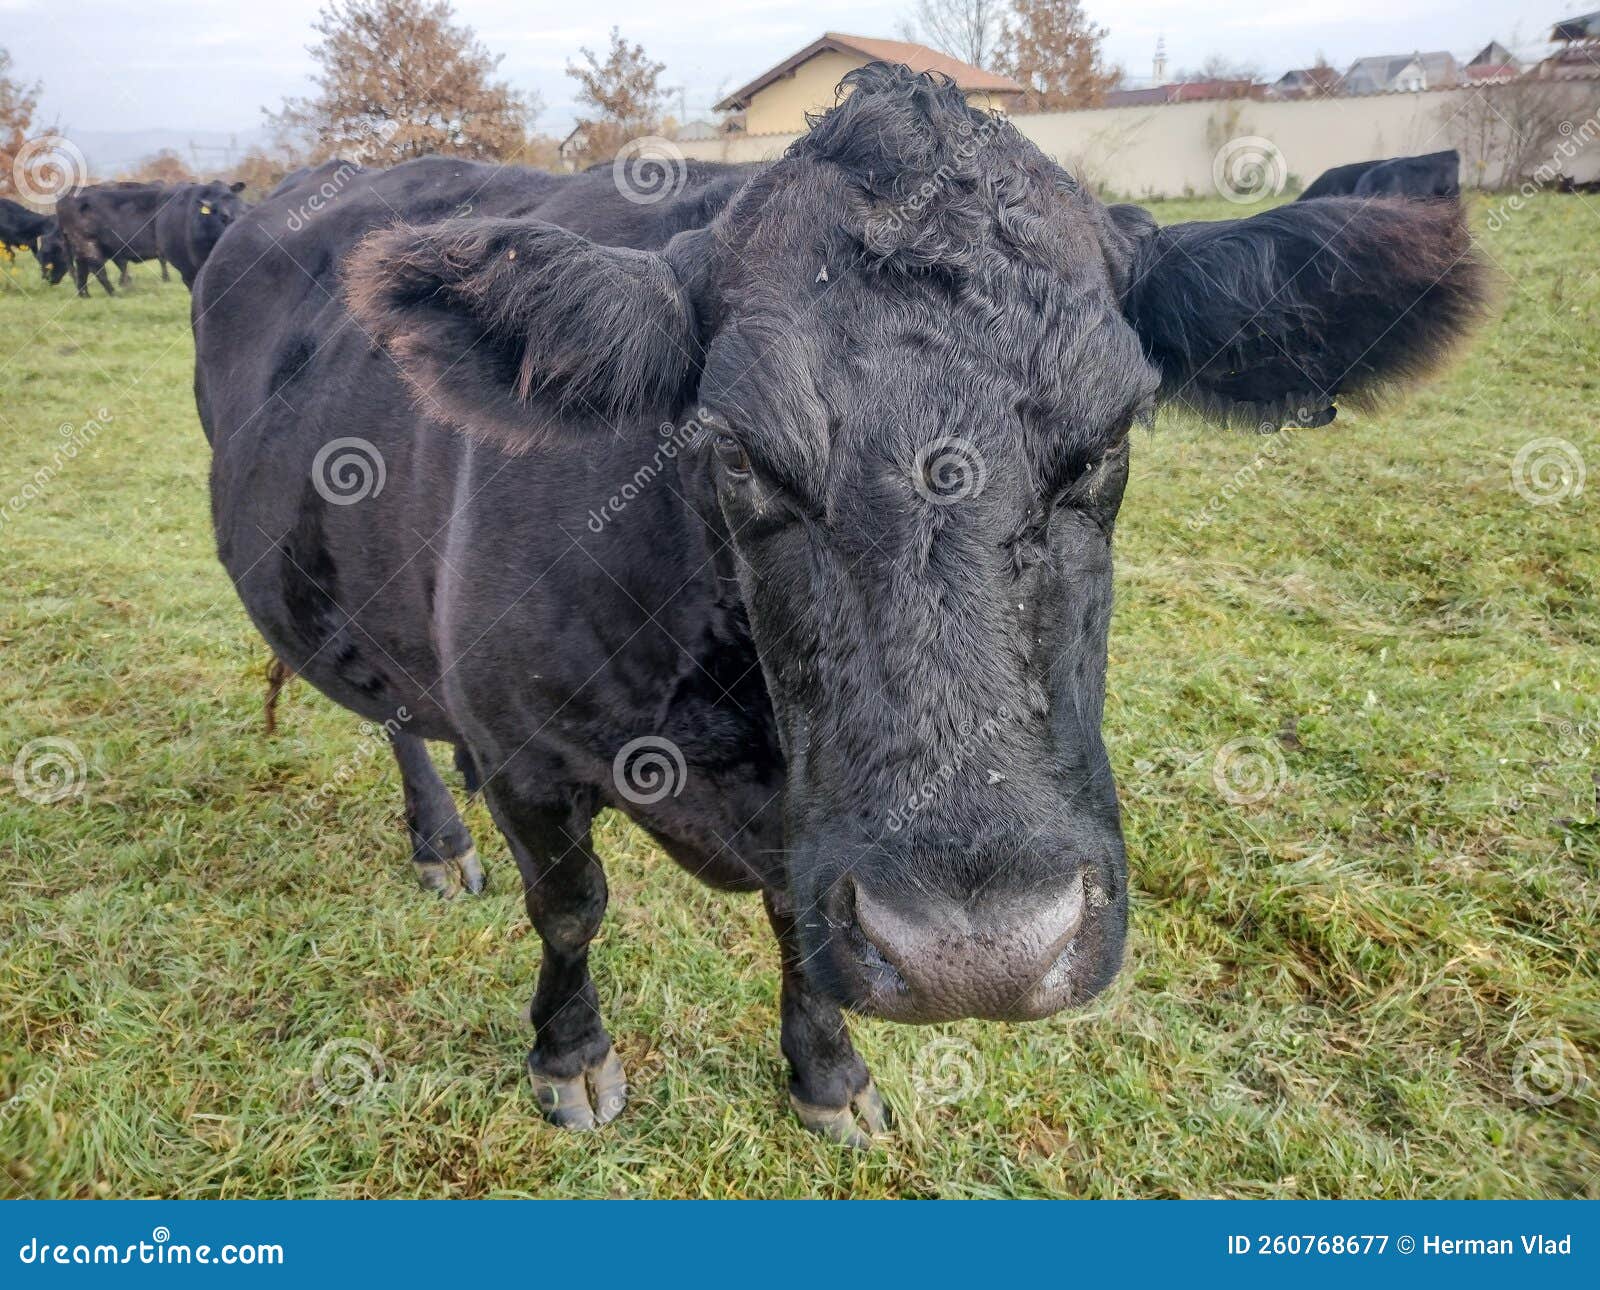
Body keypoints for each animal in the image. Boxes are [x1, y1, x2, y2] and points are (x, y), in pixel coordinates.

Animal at [193, 66, 1484, 1144]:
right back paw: (441, 837)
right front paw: (570, 1056)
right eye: (737, 450)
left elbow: (795, 930)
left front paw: (826, 1076)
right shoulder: (530, 755)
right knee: (395, 716)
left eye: (1113, 435)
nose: (978, 952)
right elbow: (568, 908)